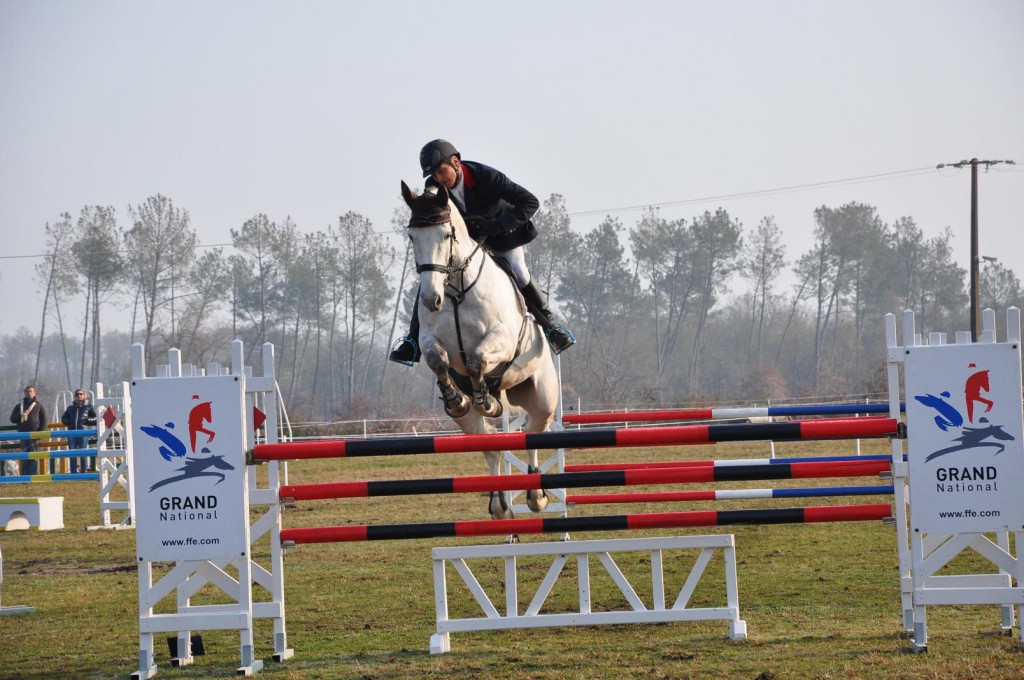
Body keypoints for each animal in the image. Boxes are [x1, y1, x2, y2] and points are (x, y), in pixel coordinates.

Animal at [401, 179, 561, 520]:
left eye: (446, 234)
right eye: (411, 237)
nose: (431, 299)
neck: (456, 289)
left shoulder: (502, 339)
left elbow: (476, 359)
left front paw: (486, 401)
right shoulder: (430, 340)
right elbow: (437, 359)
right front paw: (457, 399)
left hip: (543, 397)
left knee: (532, 432)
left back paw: (536, 495)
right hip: (472, 425)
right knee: (489, 444)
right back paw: (499, 504)